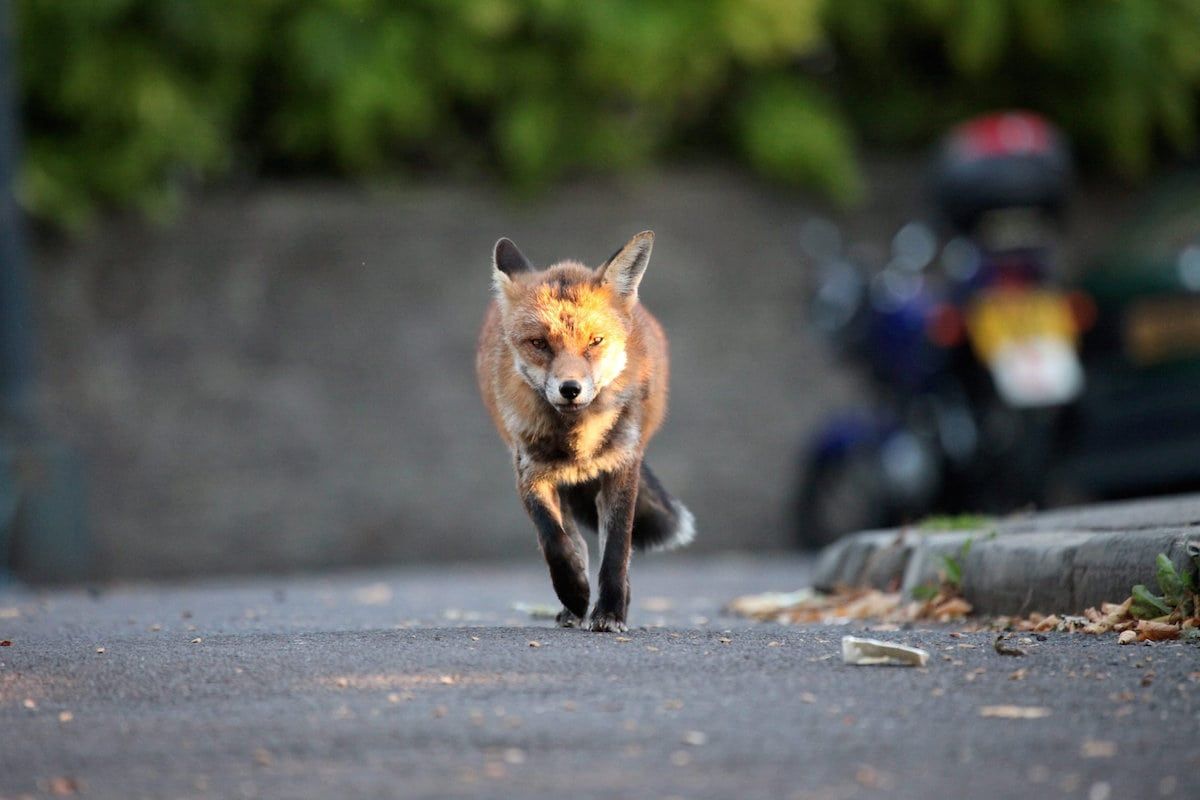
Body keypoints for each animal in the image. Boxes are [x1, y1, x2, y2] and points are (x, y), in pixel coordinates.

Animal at [477, 230, 696, 633]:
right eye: (539, 343)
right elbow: (554, 541)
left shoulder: (622, 468)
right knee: (573, 537)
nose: (570, 389)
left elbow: (616, 552)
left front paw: (609, 612)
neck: (577, 438)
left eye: (595, 341)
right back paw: (573, 605)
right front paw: (575, 592)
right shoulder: (529, 473)